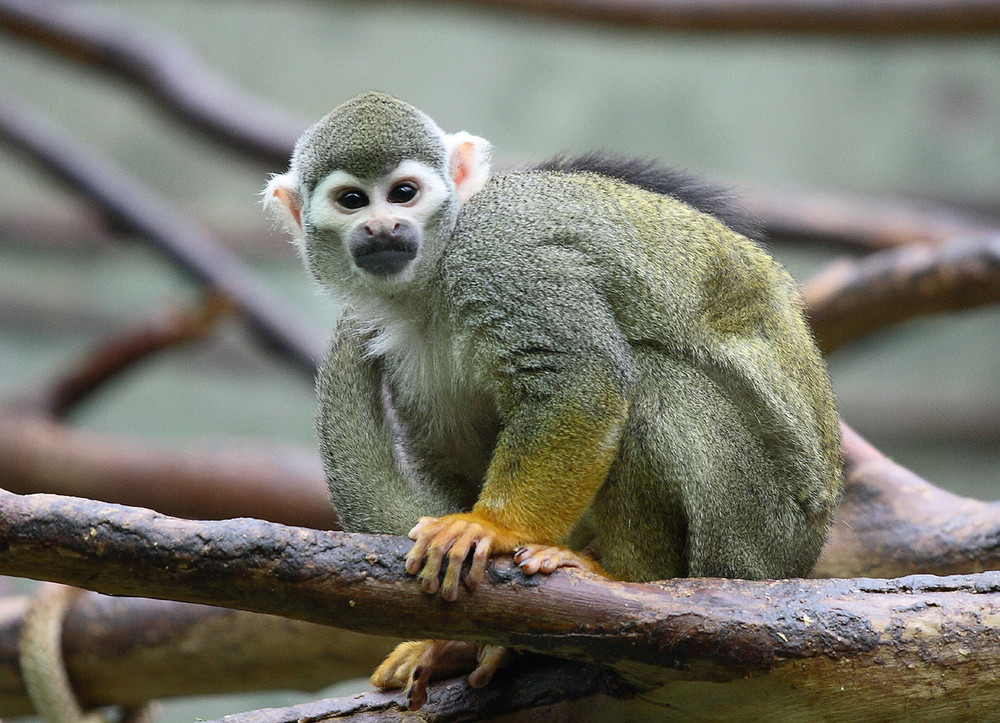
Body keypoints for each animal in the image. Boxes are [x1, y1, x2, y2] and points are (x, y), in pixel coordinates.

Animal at [262, 93, 840, 708]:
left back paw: (627, 579)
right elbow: (455, 453)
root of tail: (801, 558)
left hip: (757, 529)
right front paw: (461, 630)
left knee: (652, 383)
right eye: (352, 201)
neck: (431, 280)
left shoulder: (501, 264)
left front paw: (492, 528)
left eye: (404, 193)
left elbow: (584, 378)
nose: (382, 226)